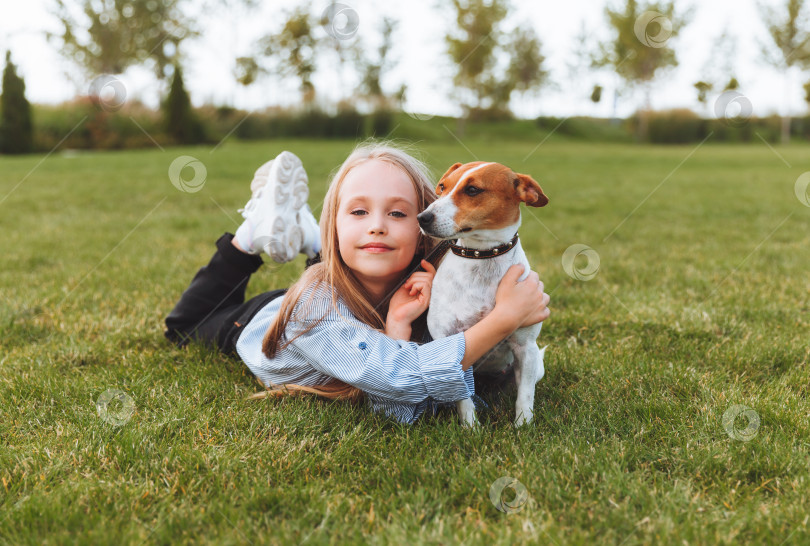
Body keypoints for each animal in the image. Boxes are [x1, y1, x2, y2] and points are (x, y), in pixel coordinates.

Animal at [416, 162, 548, 424]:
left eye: (473, 190)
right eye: (443, 187)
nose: (422, 217)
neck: (482, 256)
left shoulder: (526, 348)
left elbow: (525, 396)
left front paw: (523, 426)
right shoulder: (450, 344)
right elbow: (464, 398)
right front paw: (470, 427)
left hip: (535, 365)